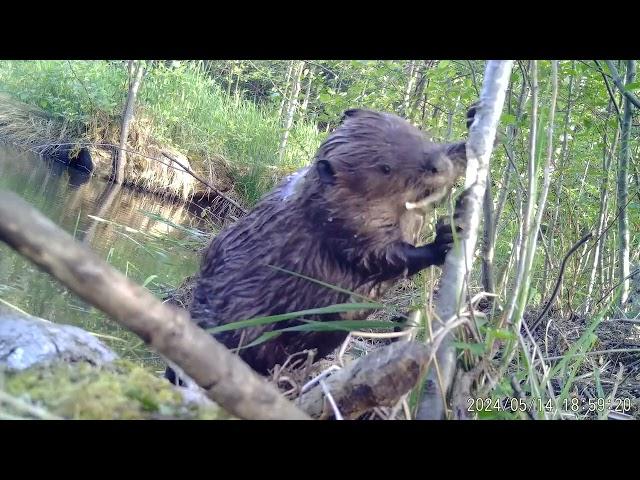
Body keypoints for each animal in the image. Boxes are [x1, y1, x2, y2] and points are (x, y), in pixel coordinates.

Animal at [165, 106, 476, 382]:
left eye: (417, 133)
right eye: (385, 168)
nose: (437, 166)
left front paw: (472, 121)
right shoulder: (339, 221)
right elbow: (378, 257)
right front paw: (444, 238)